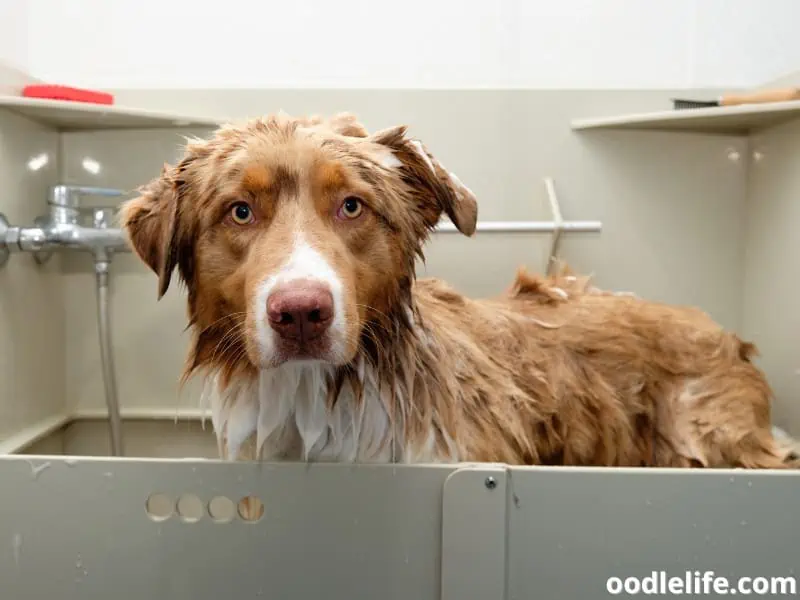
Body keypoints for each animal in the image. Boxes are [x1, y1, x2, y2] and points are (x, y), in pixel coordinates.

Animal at [122, 111, 796, 468]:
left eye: (351, 205)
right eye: (239, 212)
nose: (301, 313)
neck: (320, 401)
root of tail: (719, 327)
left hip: (709, 439)